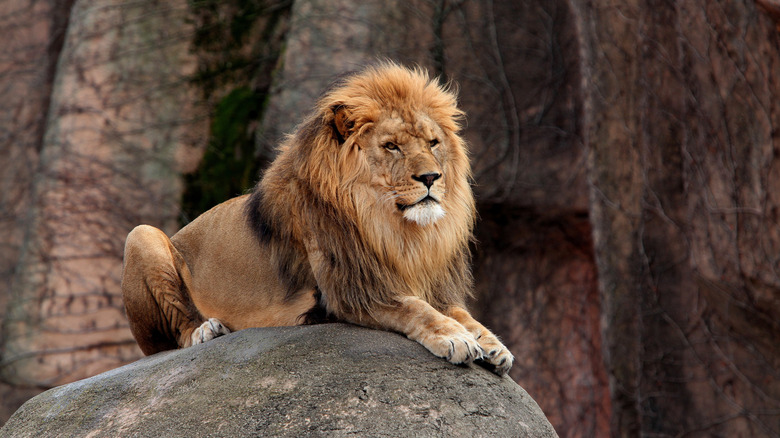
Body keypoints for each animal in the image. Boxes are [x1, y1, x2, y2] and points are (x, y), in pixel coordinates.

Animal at [120, 63, 512, 374]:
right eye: (391, 146)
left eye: (433, 143)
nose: (431, 177)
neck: (394, 229)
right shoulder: (353, 291)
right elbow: (417, 309)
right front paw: (456, 338)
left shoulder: (428, 281)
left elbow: (459, 311)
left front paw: (491, 343)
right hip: (141, 235)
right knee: (174, 338)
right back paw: (206, 330)